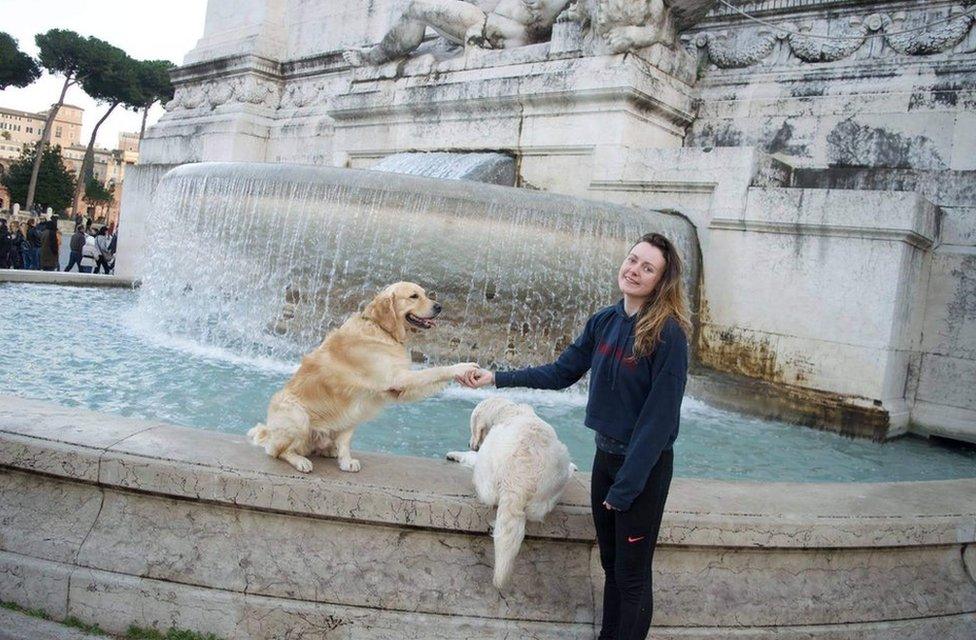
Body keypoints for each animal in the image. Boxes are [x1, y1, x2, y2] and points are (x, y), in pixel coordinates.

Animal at [446, 398, 576, 588]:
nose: (469, 443)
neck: (509, 412)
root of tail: (517, 481)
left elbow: (471, 456)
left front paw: (454, 453)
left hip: (487, 472)